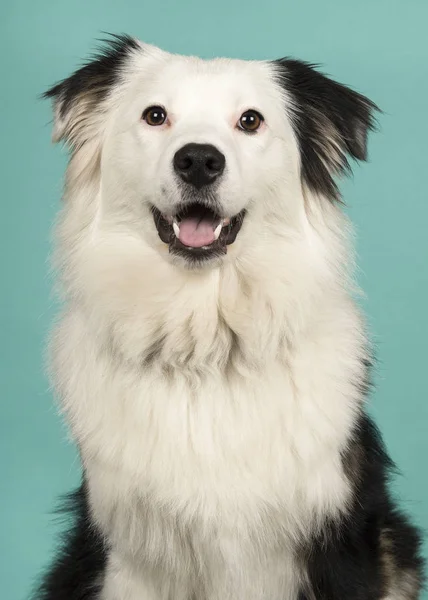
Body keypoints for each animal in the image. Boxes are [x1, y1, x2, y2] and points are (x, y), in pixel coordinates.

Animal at [35, 34, 422, 600]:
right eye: (155, 115)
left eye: (250, 120)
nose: (198, 160)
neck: (207, 340)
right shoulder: (128, 555)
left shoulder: (335, 540)